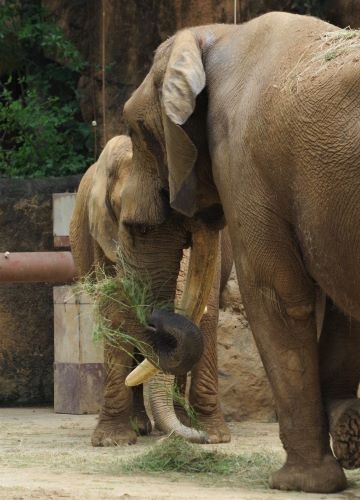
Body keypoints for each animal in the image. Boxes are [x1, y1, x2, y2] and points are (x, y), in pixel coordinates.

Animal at [70, 134, 232, 446]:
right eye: (137, 228)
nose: (158, 318)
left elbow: (207, 314)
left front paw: (215, 436)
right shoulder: (102, 234)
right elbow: (115, 311)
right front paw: (112, 441)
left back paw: (180, 423)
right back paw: (141, 426)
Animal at [119, 10, 360, 492]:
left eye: (139, 131)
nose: (155, 321)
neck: (219, 34)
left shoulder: (244, 159)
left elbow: (276, 296)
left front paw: (297, 484)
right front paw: (346, 438)